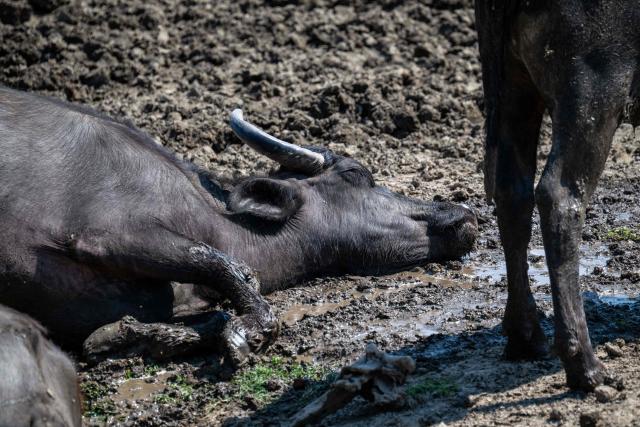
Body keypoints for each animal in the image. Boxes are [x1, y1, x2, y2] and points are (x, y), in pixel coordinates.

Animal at [0, 86, 477, 364]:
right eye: (358, 173)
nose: (461, 215)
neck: (210, 217)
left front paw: (121, 335)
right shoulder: (107, 234)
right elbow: (223, 263)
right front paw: (244, 333)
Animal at [475, 1, 639, 389]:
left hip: (513, 85)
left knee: (512, 192)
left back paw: (526, 340)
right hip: (593, 90)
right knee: (558, 196)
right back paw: (588, 370)